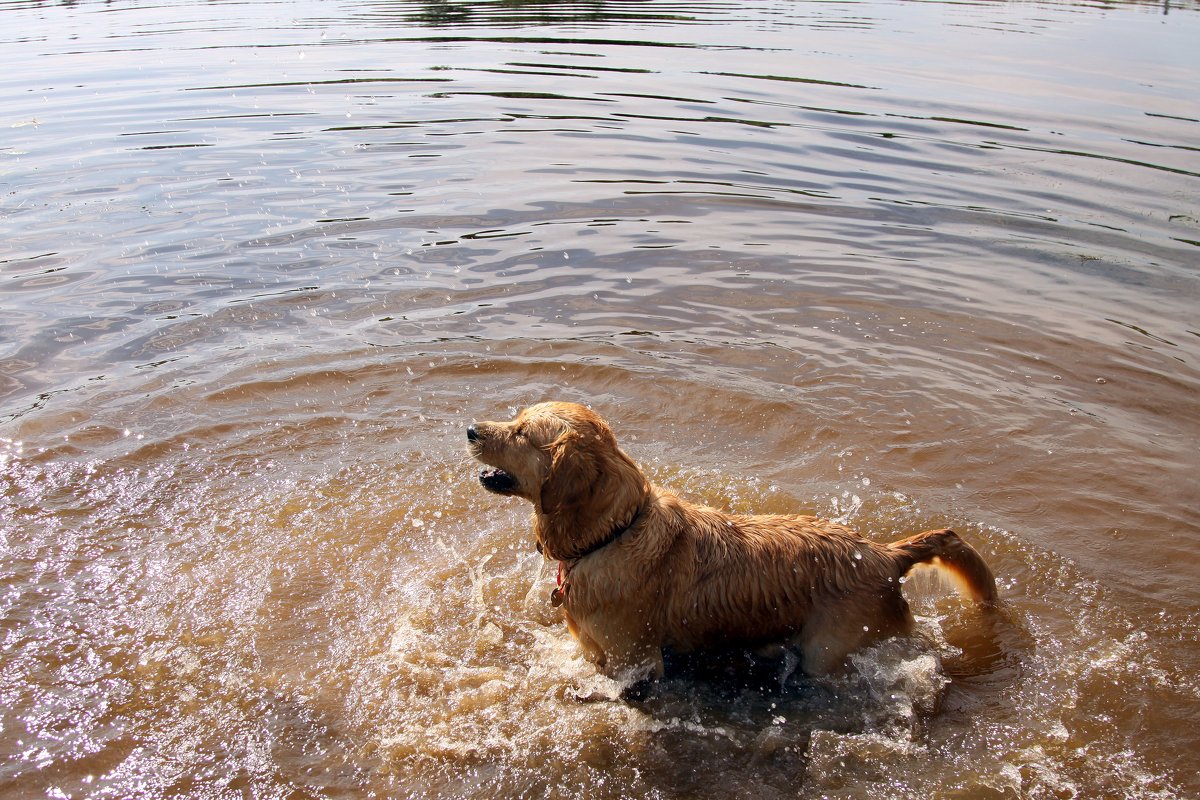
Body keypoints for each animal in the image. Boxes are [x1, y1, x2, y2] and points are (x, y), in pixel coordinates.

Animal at [463, 400, 998, 681]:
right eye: (515, 419)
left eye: (521, 432)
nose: (469, 429)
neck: (611, 534)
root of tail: (885, 554)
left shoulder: (634, 660)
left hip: (827, 650)